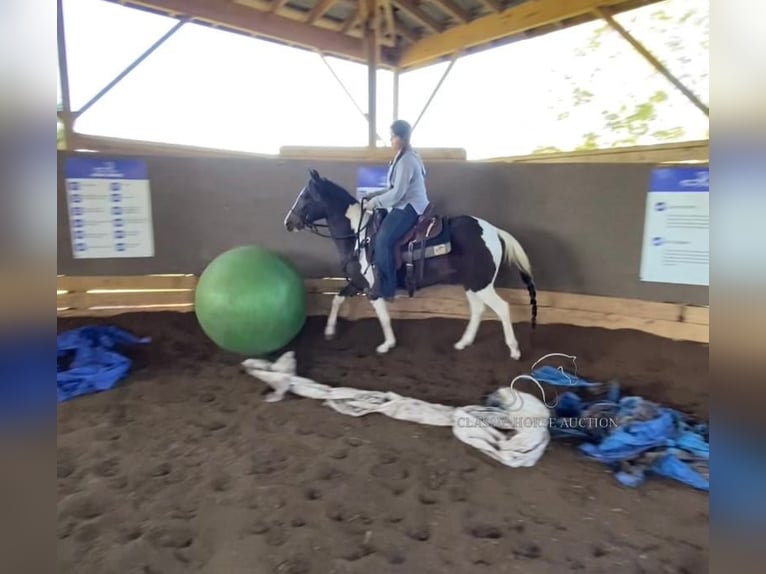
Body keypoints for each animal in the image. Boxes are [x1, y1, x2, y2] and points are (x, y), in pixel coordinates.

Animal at [284, 169, 540, 362]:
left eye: (306, 196)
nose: (288, 222)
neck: (358, 234)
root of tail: (493, 230)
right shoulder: (357, 281)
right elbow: (336, 300)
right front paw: (329, 332)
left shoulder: (373, 288)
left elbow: (383, 317)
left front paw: (387, 344)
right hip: (472, 284)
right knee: (478, 310)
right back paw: (463, 343)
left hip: (482, 284)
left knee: (503, 308)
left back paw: (514, 350)